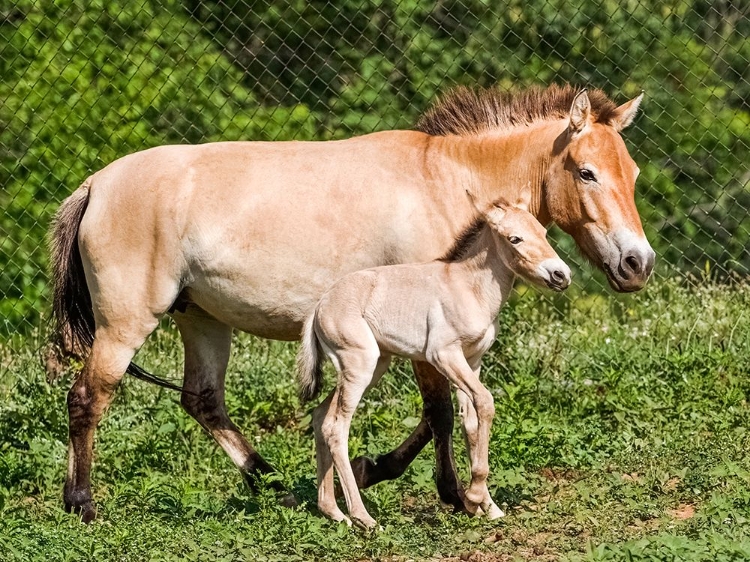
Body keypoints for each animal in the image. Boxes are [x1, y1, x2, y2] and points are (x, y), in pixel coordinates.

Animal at [296, 203, 572, 528]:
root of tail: (319, 306)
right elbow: (485, 402)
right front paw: (474, 497)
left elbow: (471, 422)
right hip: (359, 366)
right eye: (514, 238)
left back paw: (334, 512)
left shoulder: (472, 361)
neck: (468, 287)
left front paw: (486, 506)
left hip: (373, 366)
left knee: (320, 415)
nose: (561, 275)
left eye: (543, 232)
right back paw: (364, 518)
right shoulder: (443, 355)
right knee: (336, 427)